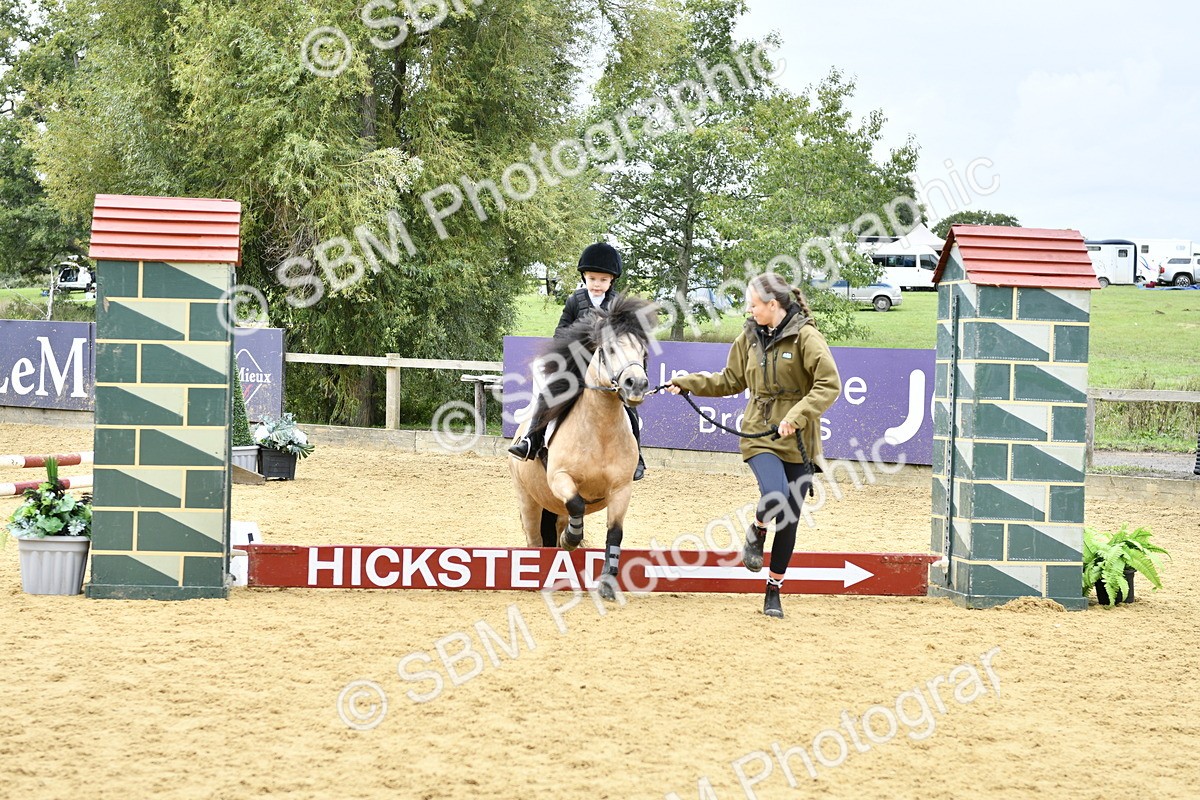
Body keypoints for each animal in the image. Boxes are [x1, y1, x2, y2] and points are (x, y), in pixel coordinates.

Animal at [509, 295, 655, 600]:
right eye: (610, 349)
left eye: (643, 351)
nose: (636, 385)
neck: (600, 432)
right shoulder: (560, 478)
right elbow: (577, 502)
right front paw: (572, 539)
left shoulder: (621, 490)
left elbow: (615, 533)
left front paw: (608, 584)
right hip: (528, 500)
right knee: (535, 540)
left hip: (554, 506)